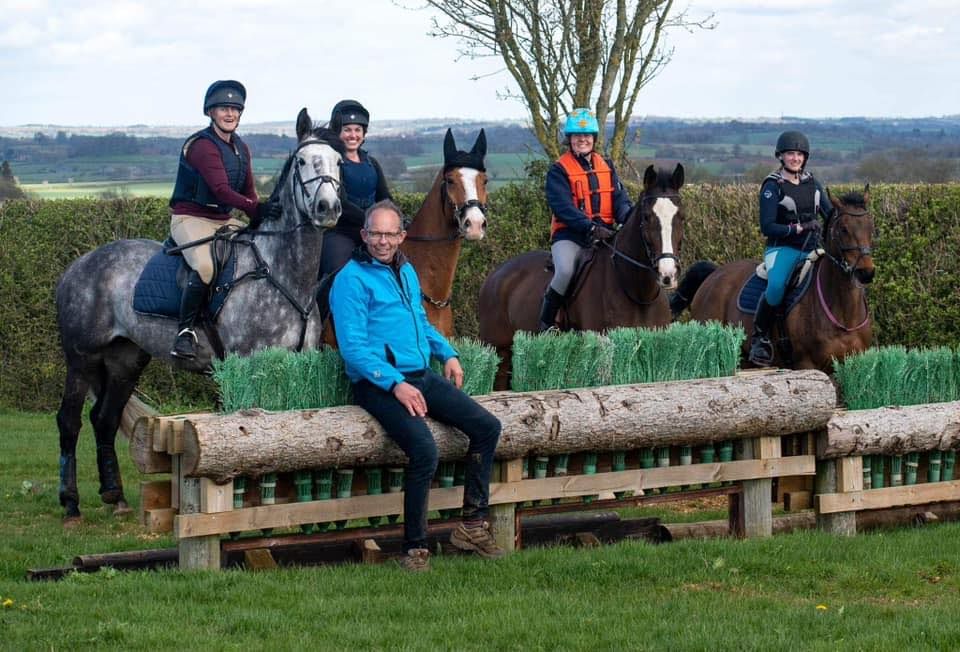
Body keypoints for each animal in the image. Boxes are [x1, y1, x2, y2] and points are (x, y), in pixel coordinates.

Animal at [54, 108, 344, 524]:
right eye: (303, 161)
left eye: (339, 161)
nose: (328, 208)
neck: (283, 271)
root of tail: (77, 266)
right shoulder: (248, 365)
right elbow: (251, 430)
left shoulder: (295, 365)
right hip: (82, 359)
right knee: (70, 420)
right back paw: (71, 504)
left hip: (126, 359)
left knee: (105, 419)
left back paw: (116, 497)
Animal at [478, 164, 684, 388]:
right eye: (646, 217)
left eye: (681, 217)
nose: (667, 274)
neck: (637, 293)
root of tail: (496, 275)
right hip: (498, 349)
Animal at [672, 187, 872, 372]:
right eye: (843, 229)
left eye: (871, 226)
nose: (866, 272)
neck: (844, 315)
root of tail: (714, 274)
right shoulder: (806, 364)